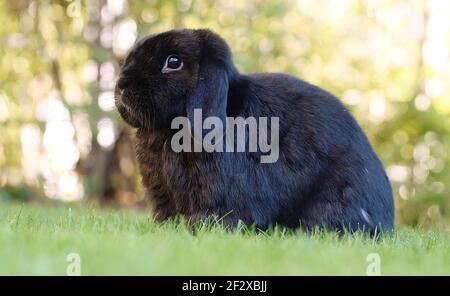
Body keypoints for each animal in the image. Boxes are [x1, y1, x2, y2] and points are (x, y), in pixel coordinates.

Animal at [115, 28, 394, 232]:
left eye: (173, 62)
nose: (121, 86)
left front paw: (199, 227)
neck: (168, 132)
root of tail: (387, 218)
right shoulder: (162, 194)